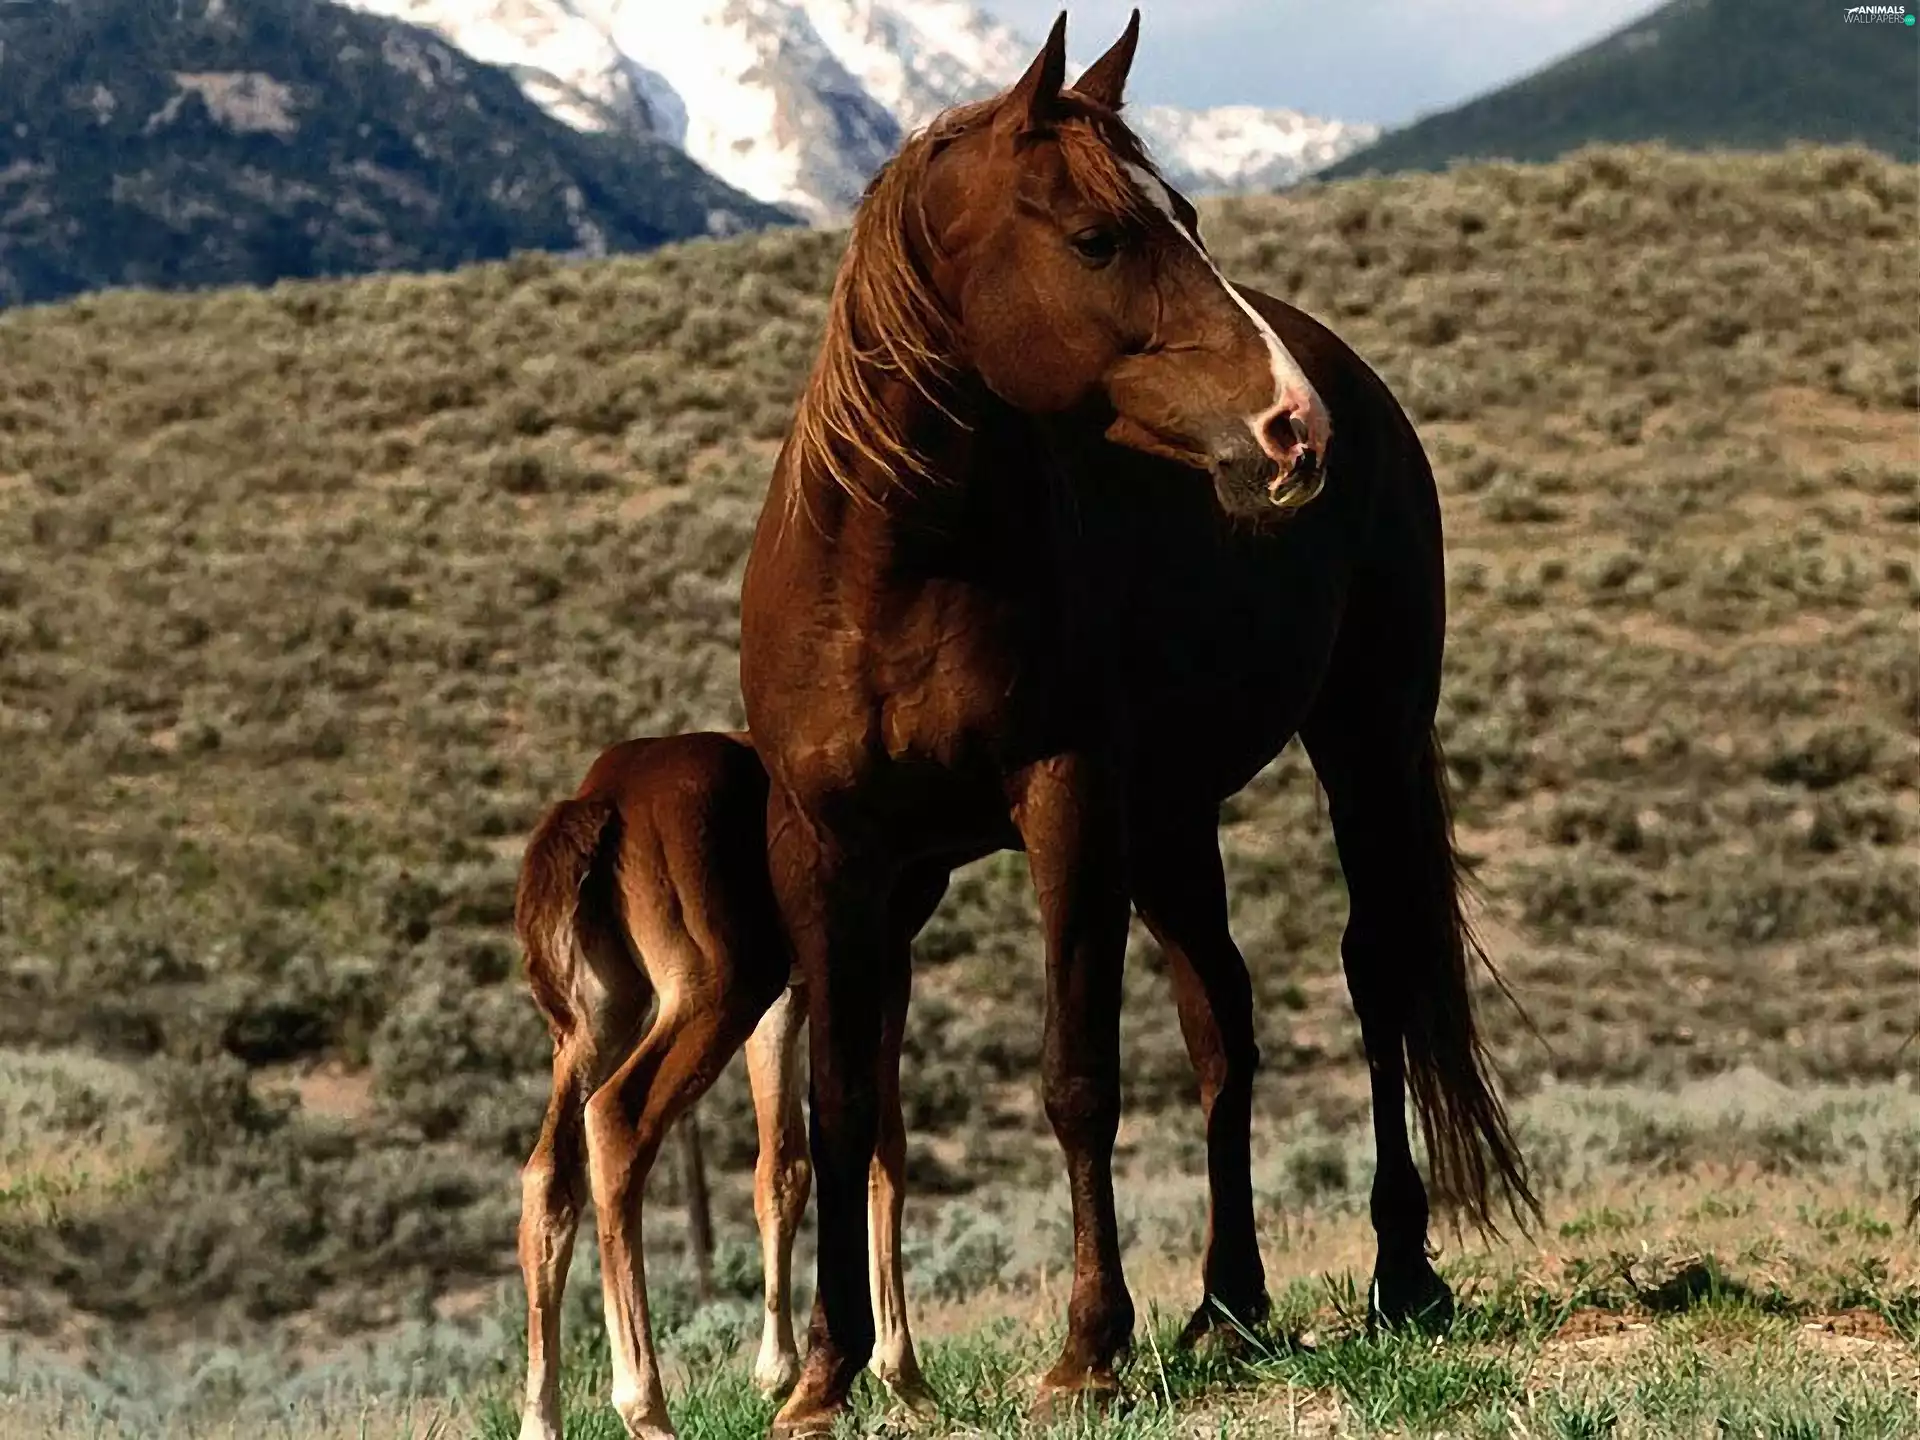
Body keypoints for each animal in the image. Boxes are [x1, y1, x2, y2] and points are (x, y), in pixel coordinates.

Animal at [512, 732, 934, 1440]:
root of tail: (602, 800)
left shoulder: (791, 993)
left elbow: (782, 1167)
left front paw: (779, 1375)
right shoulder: (880, 955)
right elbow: (885, 1146)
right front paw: (906, 1380)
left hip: (599, 1021)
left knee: (548, 1175)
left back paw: (540, 1421)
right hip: (716, 993)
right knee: (617, 1118)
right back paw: (646, 1407)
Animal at [737, 11, 1536, 1436]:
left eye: (1191, 216)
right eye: (1100, 238)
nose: (1293, 429)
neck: (893, 570)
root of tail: (1358, 379)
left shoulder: (1065, 806)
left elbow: (1079, 1078)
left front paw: (1087, 1351)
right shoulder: (829, 850)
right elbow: (841, 1105)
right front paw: (824, 1377)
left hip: (1363, 743)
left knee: (1376, 969)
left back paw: (1402, 1274)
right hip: (1169, 823)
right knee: (1224, 1022)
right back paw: (1228, 1305)